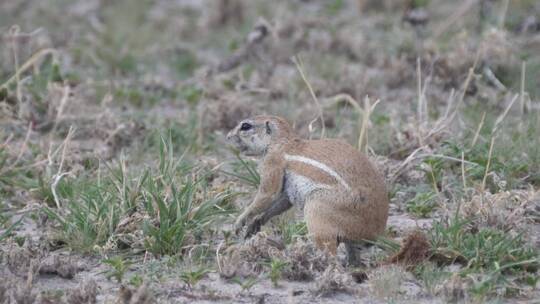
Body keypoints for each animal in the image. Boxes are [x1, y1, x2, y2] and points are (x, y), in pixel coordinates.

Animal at [228, 115, 388, 262]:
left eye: (246, 126)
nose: (228, 136)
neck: (281, 142)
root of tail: (373, 236)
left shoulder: (272, 163)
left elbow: (267, 195)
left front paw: (239, 222)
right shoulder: (287, 191)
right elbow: (281, 202)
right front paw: (256, 223)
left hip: (316, 208)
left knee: (330, 254)